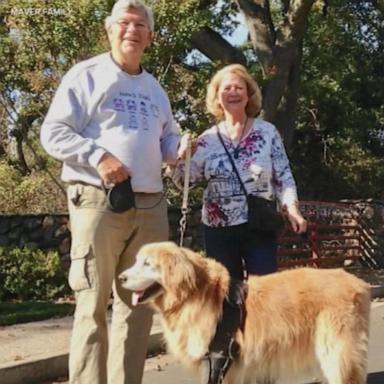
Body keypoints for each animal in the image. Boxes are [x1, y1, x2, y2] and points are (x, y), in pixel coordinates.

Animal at [119, 242, 368, 382]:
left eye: (147, 264)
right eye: (137, 261)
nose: (120, 278)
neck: (194, 293)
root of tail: (358, 283)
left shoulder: (219, 362)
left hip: (336, 353)